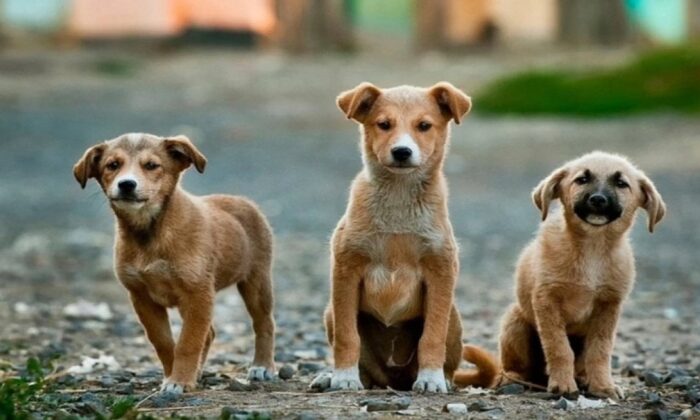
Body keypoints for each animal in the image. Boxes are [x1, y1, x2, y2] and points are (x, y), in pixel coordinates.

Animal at [73, 134, 276, 394]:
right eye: (112, 165)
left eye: (151, 165)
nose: (126, 184)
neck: (150, 233)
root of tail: (243, 200)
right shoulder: (141, 297)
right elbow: (164, 342)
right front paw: (174, 376)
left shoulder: (198, 293)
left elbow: (188, 342)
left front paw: (179, 380)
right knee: (209, 333)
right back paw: (198, 372)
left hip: (256, 281)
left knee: (264, 323)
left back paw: (262, 366)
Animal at [314, 83, 474, 394]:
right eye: (384, 124)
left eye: (424, 126)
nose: (402, 152)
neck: (399, 200)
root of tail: (394, 380)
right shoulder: (346, 269)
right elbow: (347, 336)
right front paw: (344, 377)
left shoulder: (440, 271)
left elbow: (432, 336)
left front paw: (431, 378)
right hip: (330, 313)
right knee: (365, 365)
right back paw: (334, 376)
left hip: (454, 317)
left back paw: (442, 379)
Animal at [460, 151, 668, 400]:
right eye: (582, 179)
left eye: (621, 183)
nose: (598, 199)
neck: (592, 249)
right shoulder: (547, 301)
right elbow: (559, 348)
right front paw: (562, 385)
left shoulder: (609, 306)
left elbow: (600, 351)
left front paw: (603, 386)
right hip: (515, 321)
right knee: (513, 367)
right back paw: (513, 379)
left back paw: (583, 379)